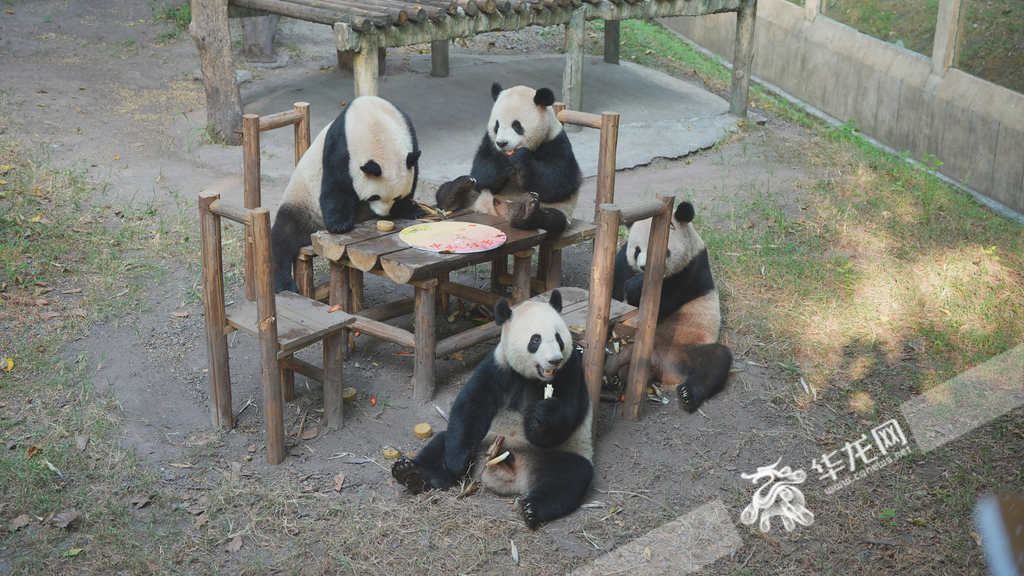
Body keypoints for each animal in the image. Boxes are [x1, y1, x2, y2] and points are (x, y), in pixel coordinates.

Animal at [268, 95, 423, 291]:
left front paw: (413, 210)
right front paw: (340, 225)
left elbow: (413, 175)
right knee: (284, 236)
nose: (383, 213)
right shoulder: (341, 145)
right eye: (374, 196)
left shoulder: (409, 134)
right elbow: (336, 185)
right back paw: (283, 283)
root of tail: (316, 227)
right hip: (302, 202)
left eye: (396, 197)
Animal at [389, 289, 593, 528]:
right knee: (441, 443)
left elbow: (567, 416)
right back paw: (411, 474)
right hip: (483, 441)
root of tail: (511, 476)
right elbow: (472, 404)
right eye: (536, 339)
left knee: (569, 477)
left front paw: (543, 413)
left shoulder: (570, 370)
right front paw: (456, 462)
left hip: (561, 455)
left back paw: (532, 509)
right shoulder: (498, 366)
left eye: (559, 338)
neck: (533, 378)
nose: (554, 360)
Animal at [434, 81, 585, 238]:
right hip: (476, 194)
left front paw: (521, 159)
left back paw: (523, 213)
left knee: (554, 219)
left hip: (558, 209)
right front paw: (502, 163)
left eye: (516, 125)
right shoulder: (489, 141)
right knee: (448, 188)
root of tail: (496, 213)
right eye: (497, 125)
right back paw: (456, 190)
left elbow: (557, 181)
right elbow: (481, 170)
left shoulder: (556, 141)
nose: (502, 143)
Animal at [602, 199, 733, 409]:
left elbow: (661, 305)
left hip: (685, 348)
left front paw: (636, 286)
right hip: (618, 342)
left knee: (717, 359)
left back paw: (688, 395)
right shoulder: (624, 260)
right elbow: (615, 289)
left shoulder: (688, 271)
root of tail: (658, 364)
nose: (644, 267)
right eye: (637, 250)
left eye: (663, 252)